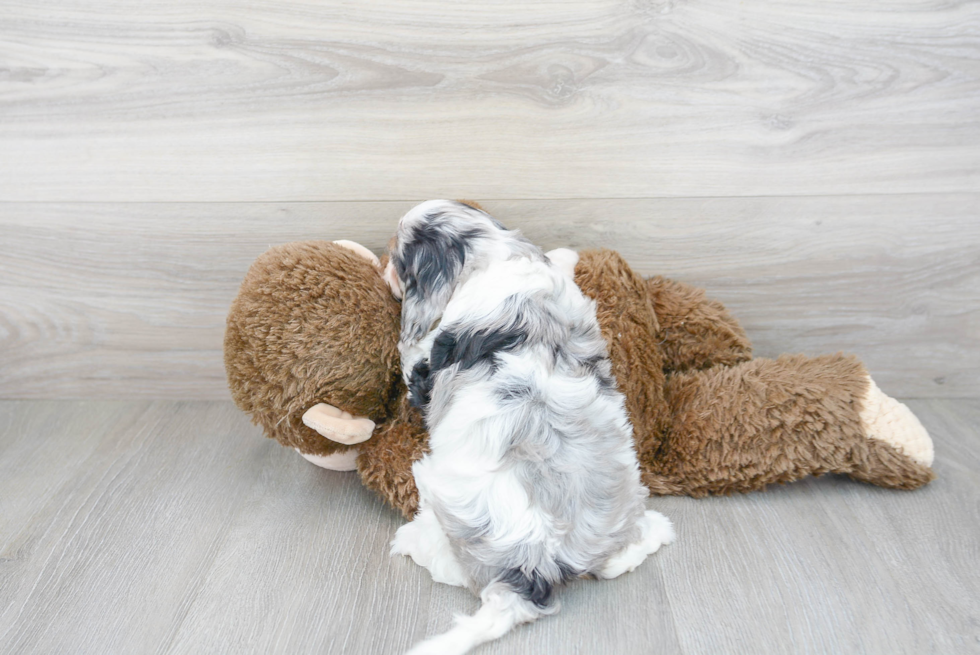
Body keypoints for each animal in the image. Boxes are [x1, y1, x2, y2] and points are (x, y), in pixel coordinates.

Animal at [382, 201, 672, 655]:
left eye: (397, 258)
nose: (382, 267)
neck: (490, 252)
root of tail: (536, 567)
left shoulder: (425, 365)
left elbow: (413, 359)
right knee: (617, 560)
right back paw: (651, 534)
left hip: (438, 494)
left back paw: (410, 543)